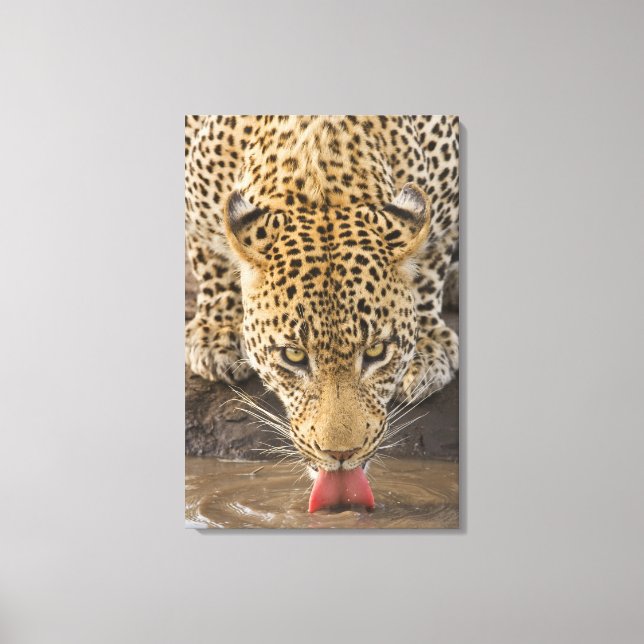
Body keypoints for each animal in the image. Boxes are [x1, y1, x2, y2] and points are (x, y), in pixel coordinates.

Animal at [185, 115, 458, 478]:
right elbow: (209, 257)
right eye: (294, 356)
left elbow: (431, 261)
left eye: (376, 351)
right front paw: (216, 333)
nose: (341, 454)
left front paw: (426, 348)